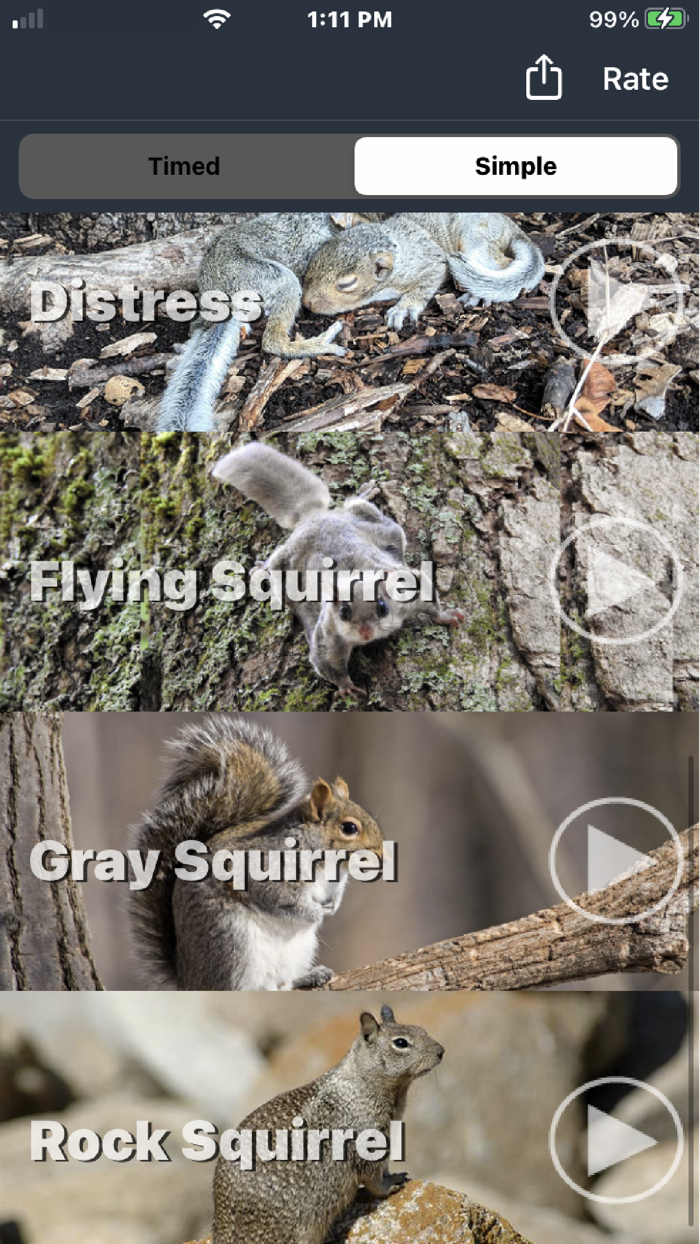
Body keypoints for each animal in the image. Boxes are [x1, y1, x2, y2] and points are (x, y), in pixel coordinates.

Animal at [129, 715, 384, 990]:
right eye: (349, 828)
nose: (382, 855)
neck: (329, 862)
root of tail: (188, 981)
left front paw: (332, 907)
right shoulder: (269, 870)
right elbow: (280, 899)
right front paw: (316, 913)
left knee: (284, 983)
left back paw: (309, 976)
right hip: (231, 942)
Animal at [212, 442, 464, 697]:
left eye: (382, 607)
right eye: (344, 612)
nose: (365, 633)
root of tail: (313, 516)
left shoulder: (410, 588)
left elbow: (430, 602)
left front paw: (447, 616)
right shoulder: (328, 634)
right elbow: (327, 664)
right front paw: (346, 687)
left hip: (371, 519)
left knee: (354, 503)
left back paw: (364, 493)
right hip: (283, 563)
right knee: (274, 562)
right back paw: (261, 569)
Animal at [212, 1004, 444, 1244]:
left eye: (422, 1029)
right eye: (401, 1043)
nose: (441, 1051)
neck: (362, 1084)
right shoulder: (366, 1144)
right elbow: (373, 1179)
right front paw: (391, 1184)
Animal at [302, 212, 545, 327]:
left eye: (347, 284)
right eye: (315, 259)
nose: (306, 302)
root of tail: (512, 228)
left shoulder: (429, 263)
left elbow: (424, 284)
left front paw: (403, 309)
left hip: (475, 242)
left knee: (500, 264)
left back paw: (478, 295)